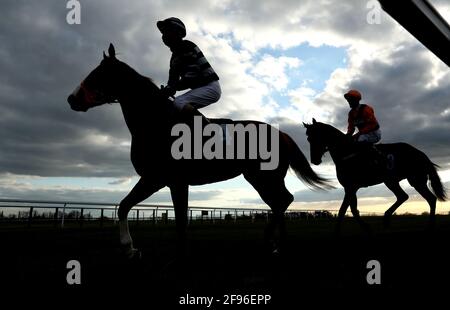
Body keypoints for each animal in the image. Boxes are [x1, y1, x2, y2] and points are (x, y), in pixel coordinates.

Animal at [66, 43, 326, 256]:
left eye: (98, 74)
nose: (71, 99)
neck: (155, 122)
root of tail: (282, 134)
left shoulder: (166, 180)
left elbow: (177, 220)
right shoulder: (160, 180)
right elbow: (125, 206)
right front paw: (130, 248)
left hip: (264, 177)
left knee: (282, 201)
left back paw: (273, 241)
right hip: (261, 177)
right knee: (280, 201)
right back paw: (277, 243)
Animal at [304, 117, 448, 234]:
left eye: (316, 136)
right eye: (308, 139)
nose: (314, 160)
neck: (346, 153)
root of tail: (422, 154)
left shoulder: (351, 187)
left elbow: (344, 210)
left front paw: (344, 230)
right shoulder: (350, 188)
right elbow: (351, 209)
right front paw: (363, 228)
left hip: (412, 180)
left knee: (423, 198)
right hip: (397, 181)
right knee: (414, 197)